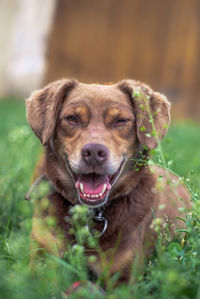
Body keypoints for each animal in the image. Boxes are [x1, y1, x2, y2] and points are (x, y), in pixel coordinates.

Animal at [26, 79, 191, 284]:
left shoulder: (121, 277)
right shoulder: (41, 259)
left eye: (120, 120)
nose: (94, 152)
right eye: (71, 118)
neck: (90, 214)